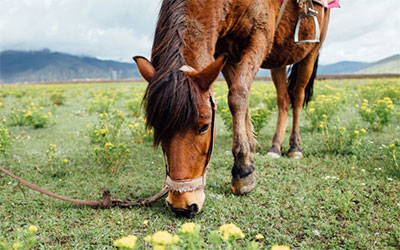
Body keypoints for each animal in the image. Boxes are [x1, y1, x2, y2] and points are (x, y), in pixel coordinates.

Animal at [134, 0, 332, 217]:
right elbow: (239, 96)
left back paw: (295, 147)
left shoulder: (260, 35)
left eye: (205, 127)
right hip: (279, 59)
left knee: (297, 96)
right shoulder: (226, 52)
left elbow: (237, 95)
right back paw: (275, 147)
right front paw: (250, 153)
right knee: (283, 99)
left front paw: (243, 171)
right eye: (157, 129)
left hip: (310, 52)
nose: (181, 205)